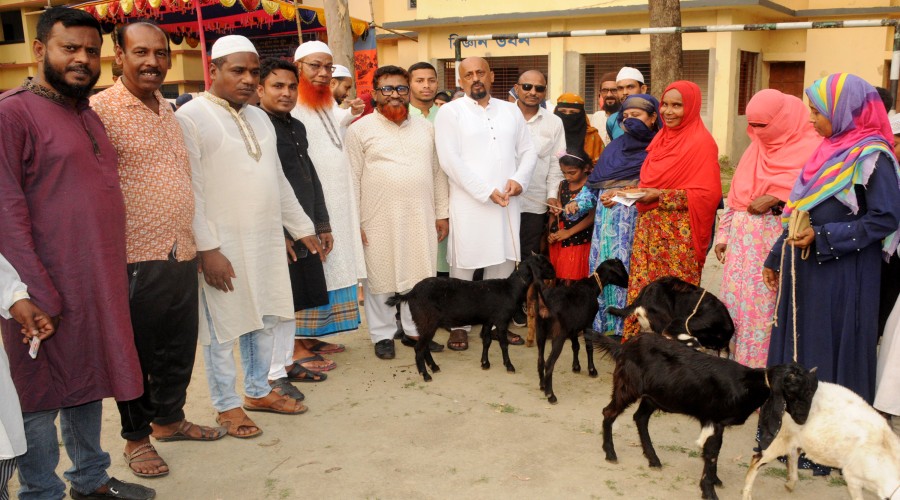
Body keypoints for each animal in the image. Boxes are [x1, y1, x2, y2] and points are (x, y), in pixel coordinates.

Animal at [386, 254, 555, 382]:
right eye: (545, 264)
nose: (555, 274)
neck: (511, 288)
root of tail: (410, 293)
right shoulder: (501, 320)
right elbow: (503, 344)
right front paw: (509, 366)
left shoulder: (488, 320)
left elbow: (486, 341)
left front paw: (485, 363)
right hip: (428, 321)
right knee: (419, 348)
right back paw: (426, 374)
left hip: (422, 323)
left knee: (424, 346)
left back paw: (434, 367)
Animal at [533, 258, 628, 404]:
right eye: (622, 268)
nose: (628, 282)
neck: (592, 286)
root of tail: (545, 306)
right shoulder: (588, 323)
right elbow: (589, 347)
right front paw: (592, 370)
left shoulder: (574, 328)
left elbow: (576, 346)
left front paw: (576, 367)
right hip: (558, 335)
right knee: (549, 364)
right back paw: (551, 395)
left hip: (540, 332)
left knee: (540, 360)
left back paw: (543, 385)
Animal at [593, 332, 770, 500]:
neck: (747, 383)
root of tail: (623, 347)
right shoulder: (714, 419)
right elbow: (712, 452)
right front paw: (709, 491)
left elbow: (713, 451)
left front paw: (714, 481)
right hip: (628, 387)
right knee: (609, 412)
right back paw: (610, 453)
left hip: (652, 397)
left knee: (640, 417)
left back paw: (653, 459)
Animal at [742, 363, 900, 500]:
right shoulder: (853, 478)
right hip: (779, 437)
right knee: (756, 460)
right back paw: (746, 494)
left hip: (794, 437)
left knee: (792, 455)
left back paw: (791, 483)